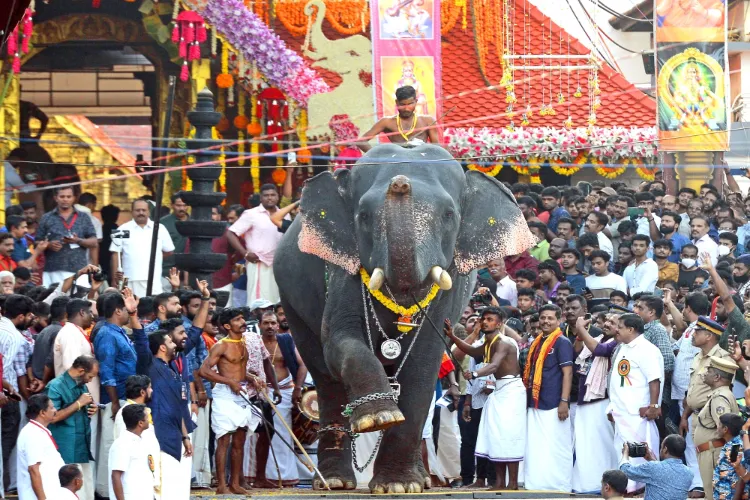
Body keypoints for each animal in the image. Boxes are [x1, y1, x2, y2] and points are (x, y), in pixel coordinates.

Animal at [274, 144, 536, 492]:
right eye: (363, 215)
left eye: (448, 215)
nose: (399, 182)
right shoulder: (343, 269)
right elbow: (338, 341)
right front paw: (380, 417)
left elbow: (424, 361)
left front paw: (397, 485)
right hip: (290, 299)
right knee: (324, 375)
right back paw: (334, 481)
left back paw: (421, 480)